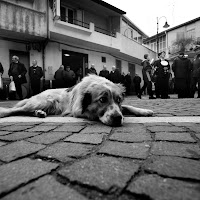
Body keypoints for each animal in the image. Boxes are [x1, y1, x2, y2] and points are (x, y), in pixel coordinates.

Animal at [0, 74, 153, 126]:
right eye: (102, 99)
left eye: (119, 100)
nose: (117, 118)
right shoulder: (77, 111)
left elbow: (127, 107)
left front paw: (144, 111)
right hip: (44, 101)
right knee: (17, 109)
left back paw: (39, 113)